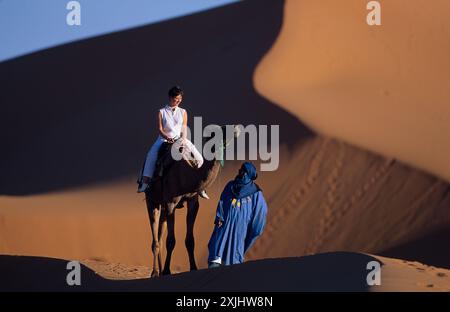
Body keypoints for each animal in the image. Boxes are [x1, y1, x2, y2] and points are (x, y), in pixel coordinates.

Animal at [146, 123, 241, 276]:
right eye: (216, 132)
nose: (235, 129)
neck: (187, 175)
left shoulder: (193, 202)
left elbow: (190, 240)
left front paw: (193, 267)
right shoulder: (171, 203)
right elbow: (171, 241)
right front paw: (166, 271)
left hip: (163, 205)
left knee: (160, 235)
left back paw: (158, 270)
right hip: (152, 200)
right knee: (155, 238)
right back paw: (155, 272)